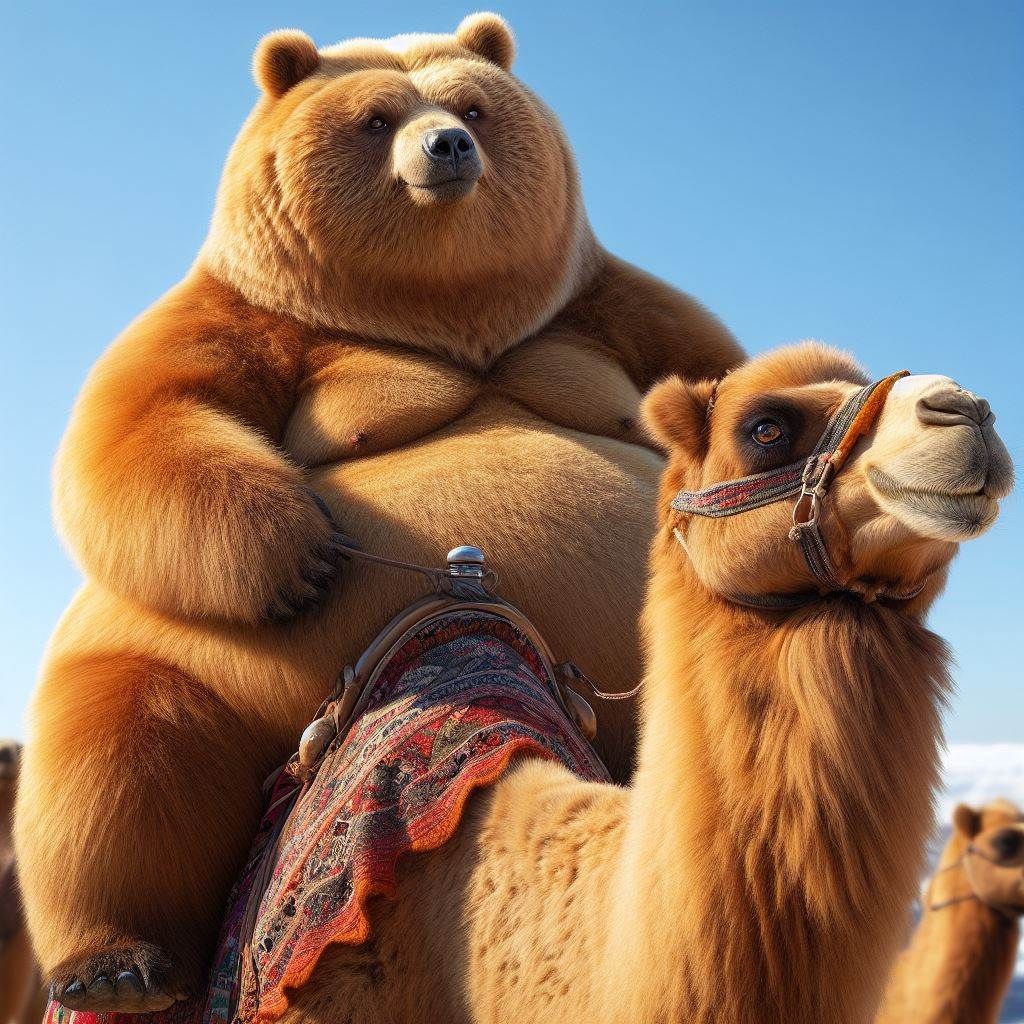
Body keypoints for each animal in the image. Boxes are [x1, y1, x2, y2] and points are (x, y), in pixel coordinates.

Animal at [16, 13, 743, 1014]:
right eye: (374, 117)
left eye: (472, 104)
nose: (449, 147)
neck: (440, 316)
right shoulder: (245, 317)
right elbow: (141, 421)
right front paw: (302, 557)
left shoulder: (614, 308)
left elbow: (718, 375)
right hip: (190, 671)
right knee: (119, 756)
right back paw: (116, 962)